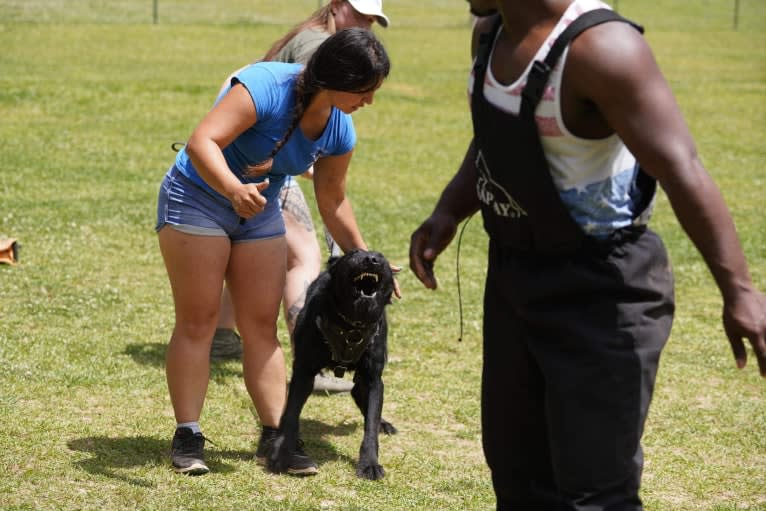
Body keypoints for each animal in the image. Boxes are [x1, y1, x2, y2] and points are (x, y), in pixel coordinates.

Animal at [270, 248, 400, 480]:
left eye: (381, 257)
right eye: (354, 254)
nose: (372, 259)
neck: (352, 326)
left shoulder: (373, 378)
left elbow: (371, 425)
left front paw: (369, 464)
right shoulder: (303, 371)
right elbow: (291, 414)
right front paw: (282, 452)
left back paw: (384, 423)